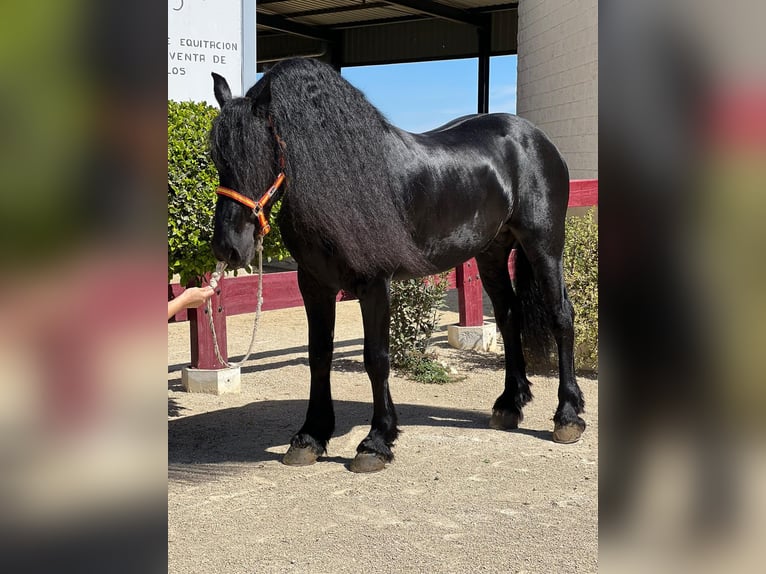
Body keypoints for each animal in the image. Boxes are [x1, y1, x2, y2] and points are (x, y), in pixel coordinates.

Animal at [209, 57, 585, 473]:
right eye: (216, 158)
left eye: (261, 153)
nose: (228, 247)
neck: (344, 182)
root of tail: (535, 137)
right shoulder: (314, 284)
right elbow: (319, 355)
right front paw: (310, 436)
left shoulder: (375, 284)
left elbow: (376, 358)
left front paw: (375, 441)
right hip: (491, 253)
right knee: (508, 316)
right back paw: (509, 405)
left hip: (544, 245)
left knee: (561, 316)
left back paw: (568, 416)